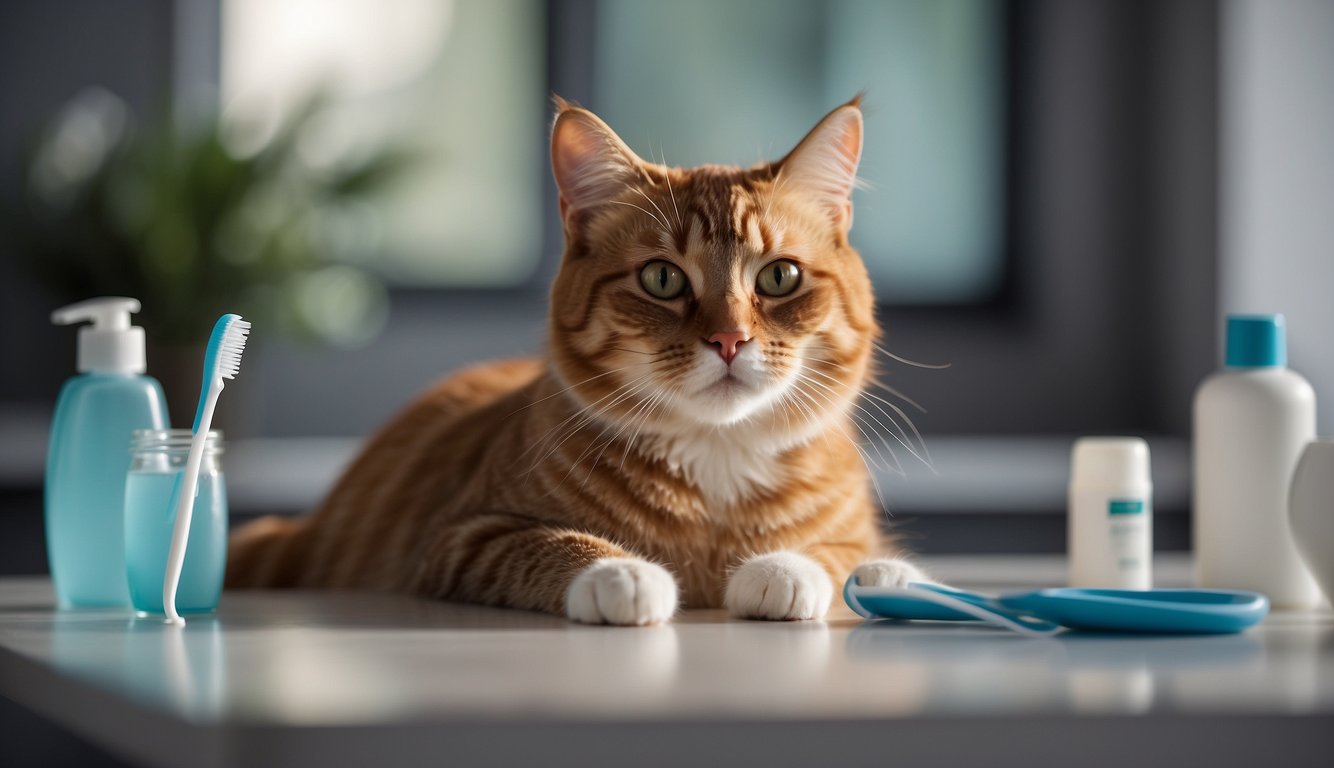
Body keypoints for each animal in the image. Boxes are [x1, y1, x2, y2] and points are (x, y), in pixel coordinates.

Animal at [226, 97, 928, 624]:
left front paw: (785, 567)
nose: (729, 339)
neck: (717, 460)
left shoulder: (859, 537)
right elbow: (549, 545)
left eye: (779, 277)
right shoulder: (460, 536)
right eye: (663, 280)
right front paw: (622, 573)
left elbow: (843, 553)